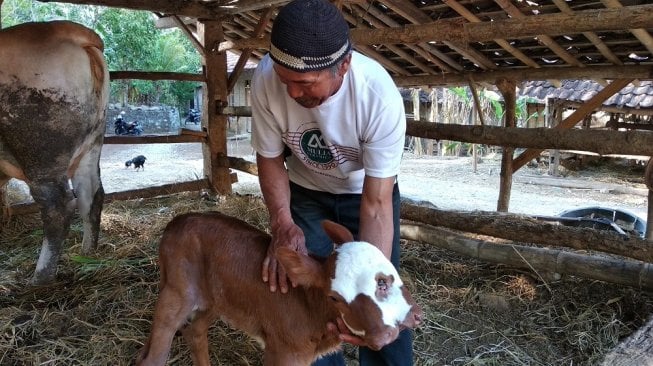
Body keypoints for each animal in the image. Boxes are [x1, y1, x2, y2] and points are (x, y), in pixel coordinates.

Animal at [0, 20, 108, 284]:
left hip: (40, 152)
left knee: (58, 207)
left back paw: (40, 278)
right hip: (93, 142)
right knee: (91, 194)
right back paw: (87, 254)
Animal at [136, 212, 422, 366]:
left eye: (384, 279)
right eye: (335, 297)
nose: (383, 336)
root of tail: (178, 220)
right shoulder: (283, 351)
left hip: (213, 299)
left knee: (195, 331)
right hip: (176, 293)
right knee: (153, 357)